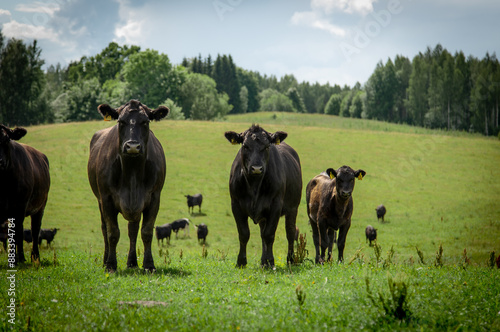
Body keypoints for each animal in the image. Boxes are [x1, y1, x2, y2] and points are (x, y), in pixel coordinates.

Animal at [0, 125, 50, 264]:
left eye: (7, 139)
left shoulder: (19, 206)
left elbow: (17, 233)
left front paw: (16, 259)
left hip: (39, 208)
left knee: (34, 230)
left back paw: (32, 256)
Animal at [88, 100, 170, 272]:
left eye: (145, 121)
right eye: (121, 121)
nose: (132, 146)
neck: (132, 172)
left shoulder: (154, 197)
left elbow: (146, 232)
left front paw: (149, 265)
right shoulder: (106, 198)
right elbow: (112, 232)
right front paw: (111, 265)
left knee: (132, 230)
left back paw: (132, 262)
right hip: (99, 200)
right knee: (104, 229)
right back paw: (105, 260)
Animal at [226, 124, 302, 268]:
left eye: (266, 146)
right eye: (245, 146)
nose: (256, 168)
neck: (254, 185)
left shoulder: (276, 205)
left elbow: (269, 234)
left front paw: (271, 261)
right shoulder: (235, 204)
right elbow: (244, 234)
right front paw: (241, 262)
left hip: (293, 208)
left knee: (290, 232)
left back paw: (290, 260)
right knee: (262, 233)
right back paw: (263, 261)